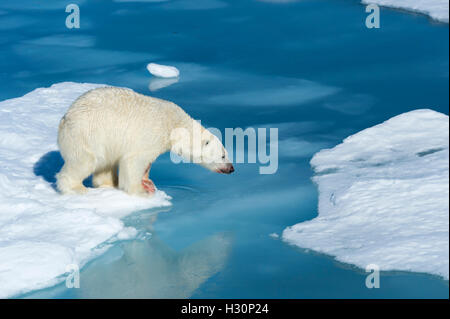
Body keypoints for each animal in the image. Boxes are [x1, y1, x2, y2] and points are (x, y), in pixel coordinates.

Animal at [55, 87, 236, 198]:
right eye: (223, 155)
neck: (174, 125)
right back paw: (76, 188)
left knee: (106, 163)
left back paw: (110, 183)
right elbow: (134, 161)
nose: (231, 168)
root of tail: (65, 117)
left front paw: (148, 183)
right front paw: (141, 191)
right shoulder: (150, 134)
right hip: (86, 134)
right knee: (85, 160)